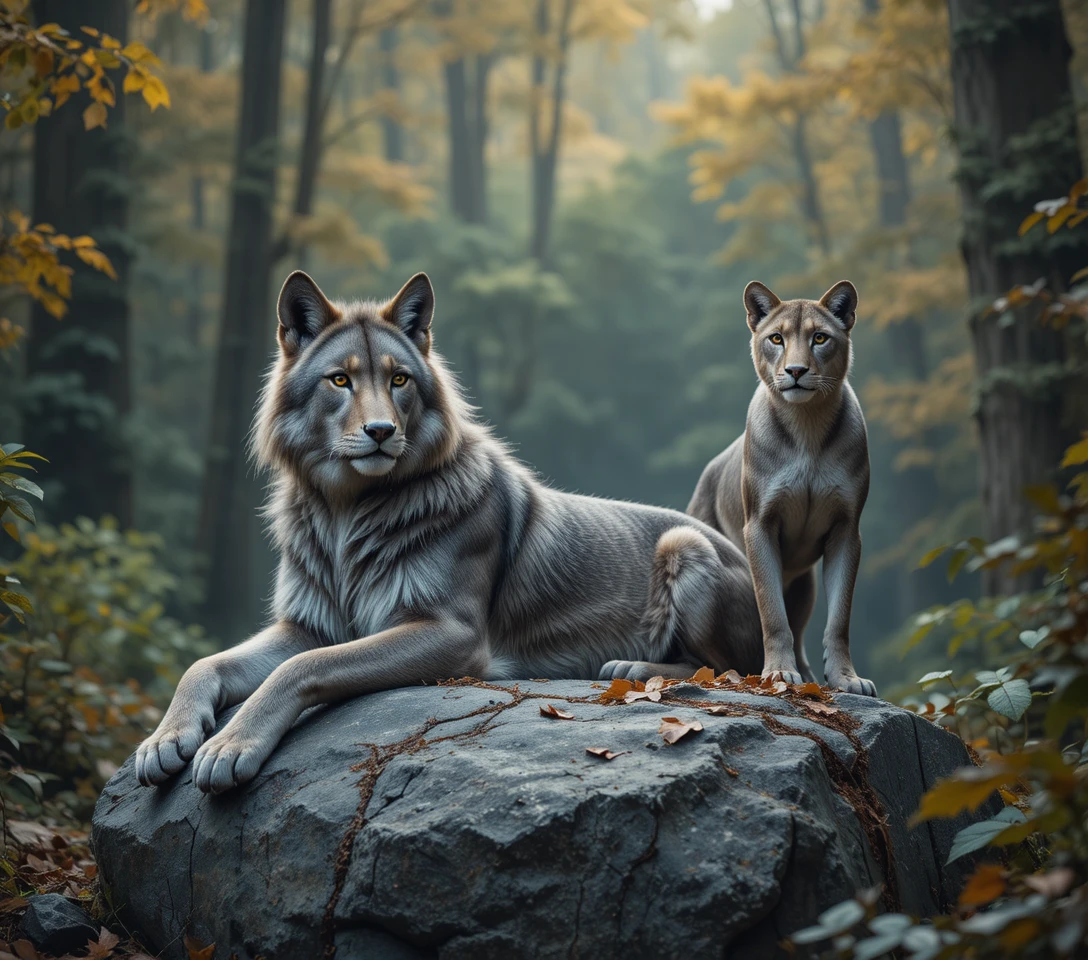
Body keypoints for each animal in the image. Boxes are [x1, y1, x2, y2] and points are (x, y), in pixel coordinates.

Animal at [136, 271, 763, 793]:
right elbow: (205, 663)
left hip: (685, 546)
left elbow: (304, 668)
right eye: (340, 380)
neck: (346, 513)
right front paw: (166, 738)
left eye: (399, 379)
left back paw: (632, 668)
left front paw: (230, 744)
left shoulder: (449, 632)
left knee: (733, 669)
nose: (382, 431)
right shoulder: (306, 626)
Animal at [688, 280, 876, 696]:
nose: (796, 370)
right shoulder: (760, 524)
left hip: (805, 584)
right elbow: (772, 614)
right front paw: (777, 673)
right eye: (776, 338)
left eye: (820, 338)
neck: (807, 425)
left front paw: (847, 679)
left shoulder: (846, 529)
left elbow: (840, 618)